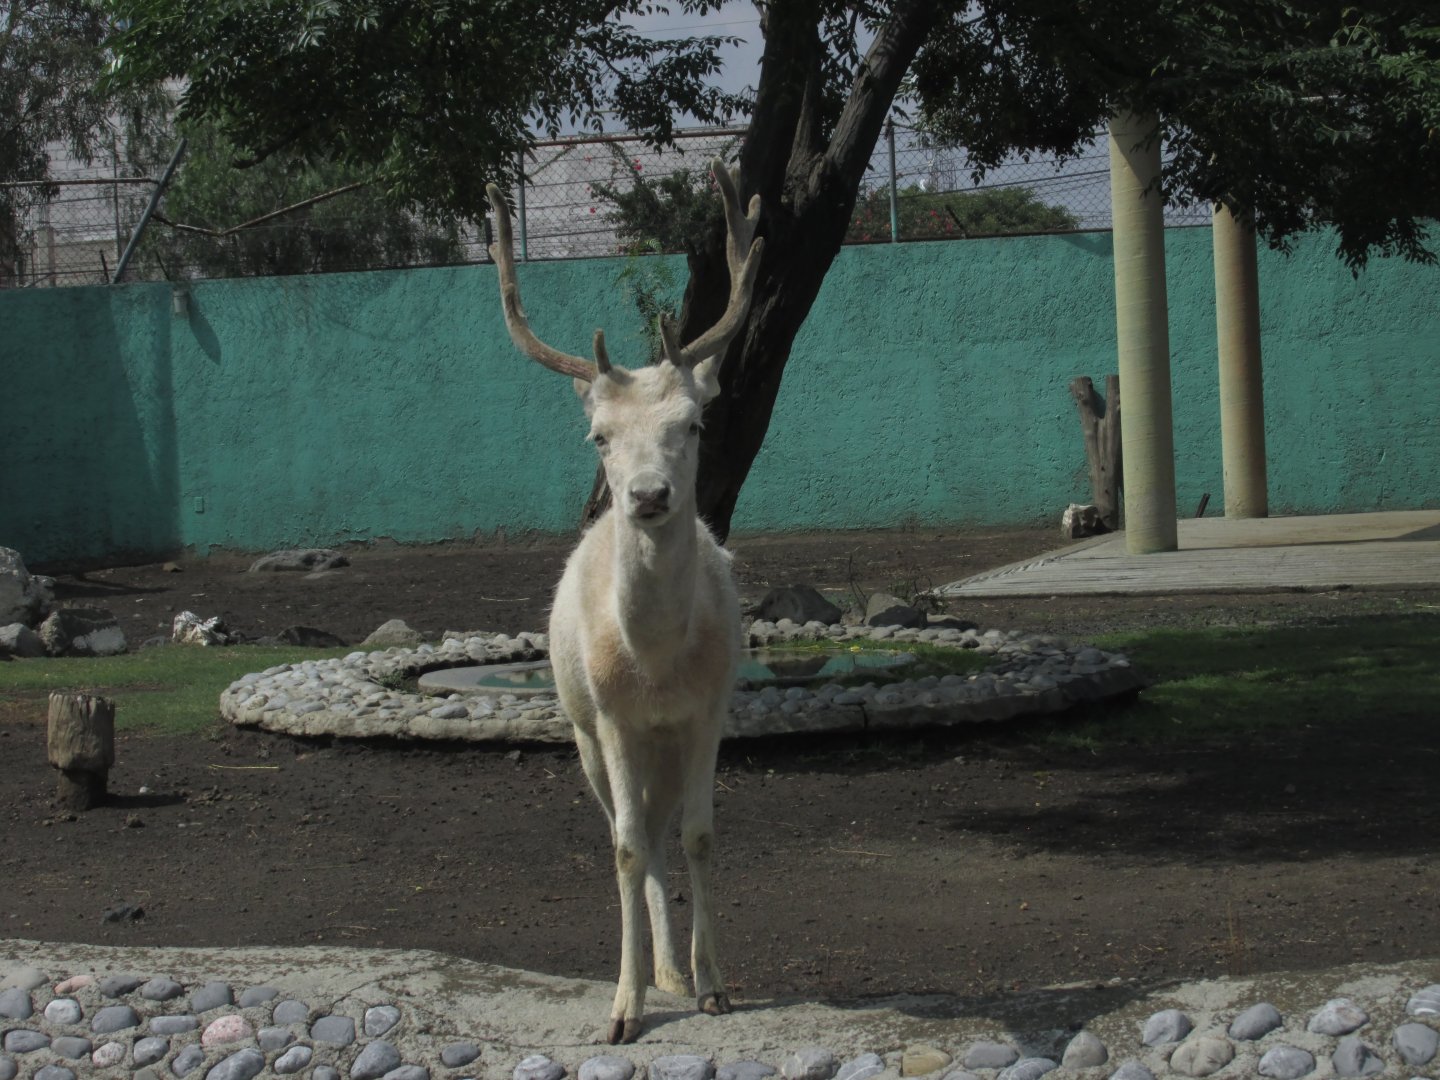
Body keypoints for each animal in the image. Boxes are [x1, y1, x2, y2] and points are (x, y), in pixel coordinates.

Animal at [485, 159, 763, 1044]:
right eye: (598, 436)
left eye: (695, 423)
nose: (645, 496)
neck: (657, 664)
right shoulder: (609, 716)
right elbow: (625, 849)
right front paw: (622, 1007)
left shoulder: (708, 710)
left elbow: (700, 834)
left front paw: (713, 985)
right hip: (583, 735)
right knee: (627, 826)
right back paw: (652, 973)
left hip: (664, 745)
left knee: (665, 824)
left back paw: (676, 969)